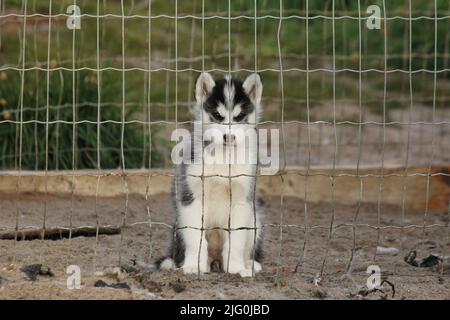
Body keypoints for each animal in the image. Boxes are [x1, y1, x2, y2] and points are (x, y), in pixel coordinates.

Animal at [158, 72, 264, 278]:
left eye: (240, 117)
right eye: (217, 116)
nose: (229, 138)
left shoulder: (241, 202)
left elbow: (236, 240)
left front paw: (236, 268)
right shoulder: (191, 199)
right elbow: (196, 238)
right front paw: (193, 266)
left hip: (255, 221)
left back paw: (249, 264)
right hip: (179, 224)